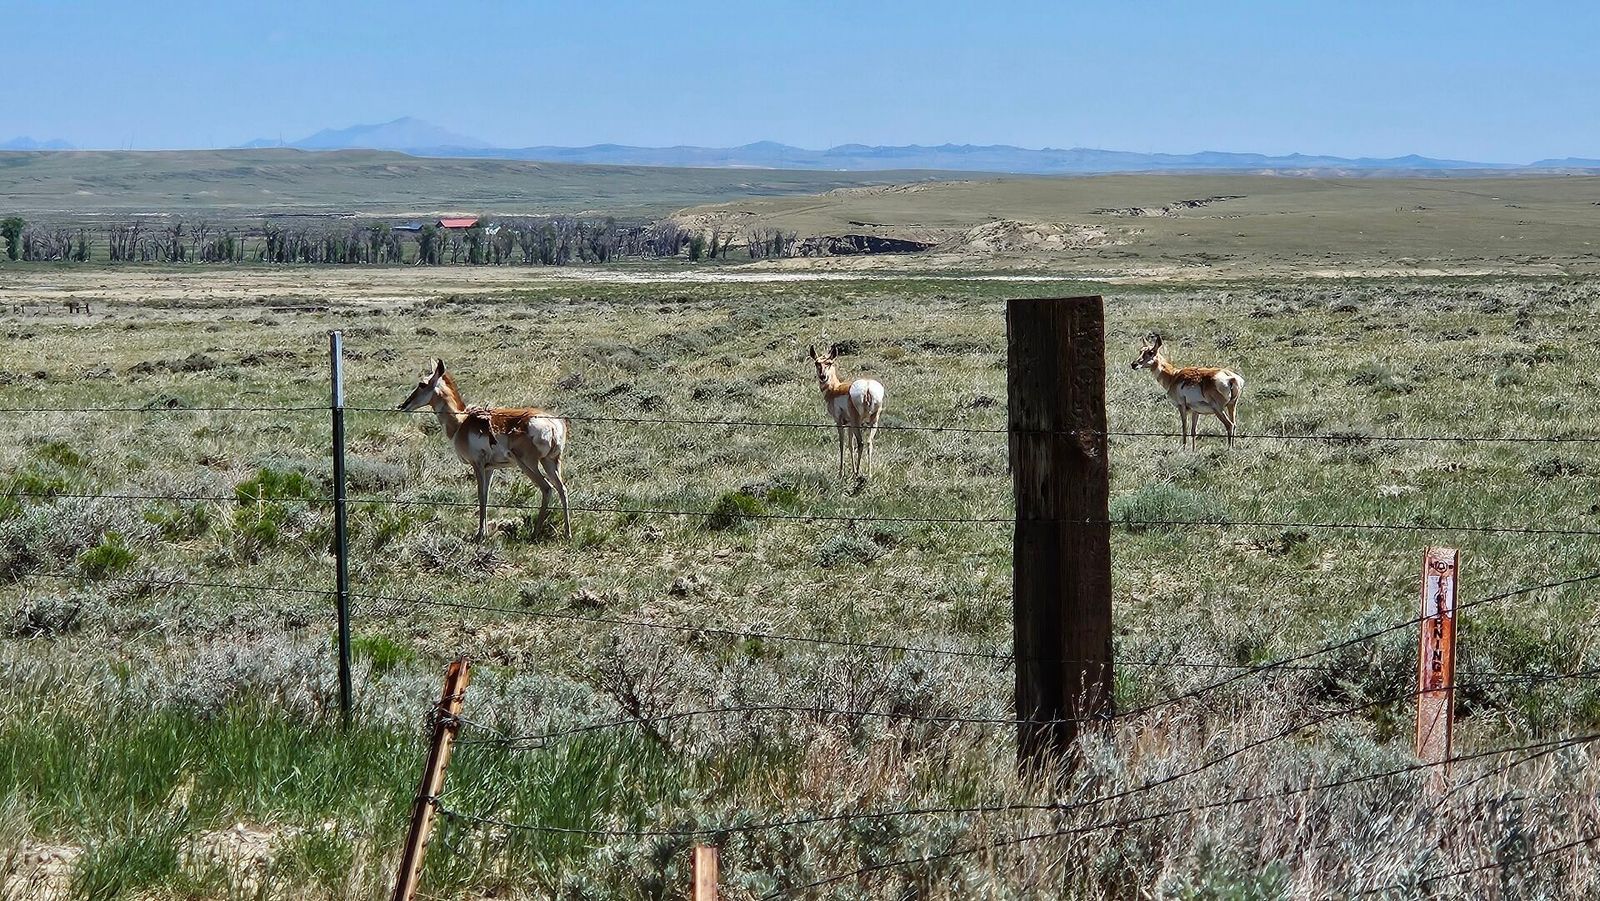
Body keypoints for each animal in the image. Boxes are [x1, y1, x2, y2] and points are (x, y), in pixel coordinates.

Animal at [397, 359, 571, 541]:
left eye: (422, 384)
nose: (403, 405)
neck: (461, 422)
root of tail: (553, 424)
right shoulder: (489, 468)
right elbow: (486, 496)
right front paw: (484, 532)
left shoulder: (477, 465)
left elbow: (480, 496)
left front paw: (480, 535)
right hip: (550, 462)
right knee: (562, 489)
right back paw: (567, 534)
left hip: (528, 464)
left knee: (547, 488)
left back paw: (535, 533)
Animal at [809, 343, 886, 481]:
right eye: (817, 363)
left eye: (829, 363)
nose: (823, 377)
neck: (835, 389)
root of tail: (867, 386)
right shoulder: (849, 424)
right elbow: (850, 445)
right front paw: (852, 470)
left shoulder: (839, 422)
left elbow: (842, 444)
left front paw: (841, 472)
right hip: (873, 421)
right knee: (869, 443)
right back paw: (868, 474)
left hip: (857, 423)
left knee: (861, 443)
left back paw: (858, 474)